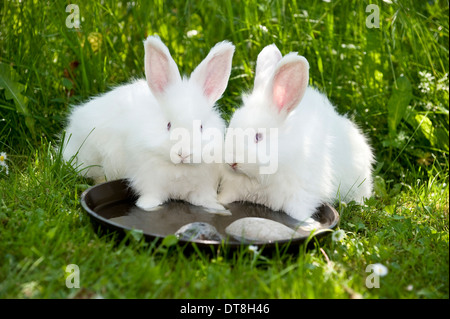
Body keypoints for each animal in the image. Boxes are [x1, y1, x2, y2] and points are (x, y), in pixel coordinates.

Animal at [63, 35, 236, 215]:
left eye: (201, 127)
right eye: (168, 125)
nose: (183, 154)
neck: (179, 168)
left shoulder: (203, 188)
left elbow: (204, 200)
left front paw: (217, 208)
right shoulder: (150, 183)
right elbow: (151, 197)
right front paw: (146, 206)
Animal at [220, 44, 374, 222]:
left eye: (258, 137)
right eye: (231, 127)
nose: (232, 162)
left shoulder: (300, 197)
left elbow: (298, 214)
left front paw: (308, 223)